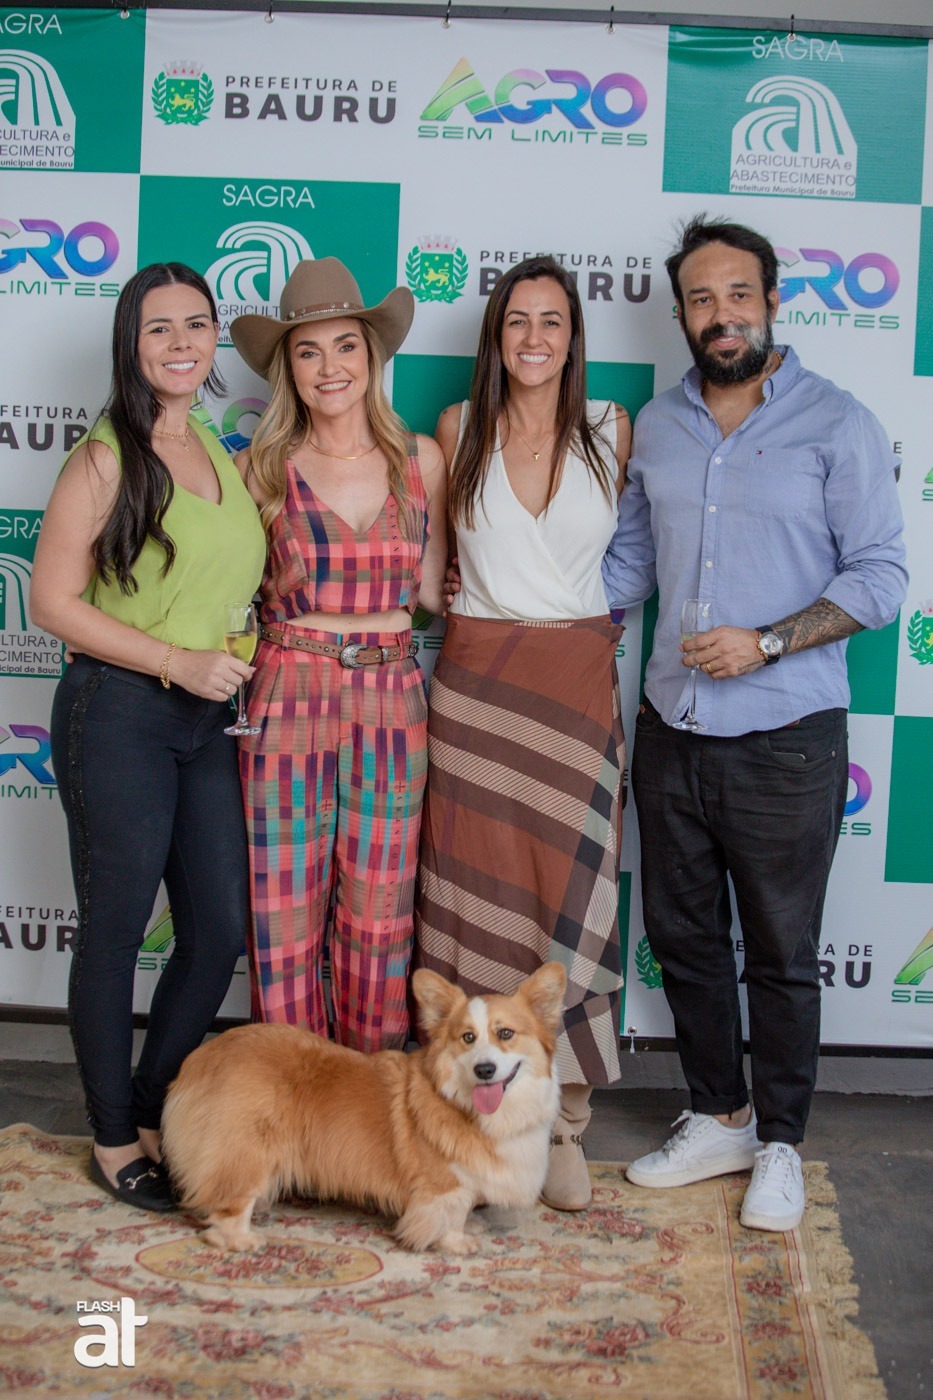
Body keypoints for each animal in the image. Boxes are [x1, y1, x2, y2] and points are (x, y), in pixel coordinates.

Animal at [161, 962, 567, 1255]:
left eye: (505, 1033)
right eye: (467, 1038)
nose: (484, 1069)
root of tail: (203, 1057)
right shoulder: (442, 1185)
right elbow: (449, 1215)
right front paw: (457, 1243)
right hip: (250, 1149)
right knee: (229, 1205)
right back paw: (242, 1240)